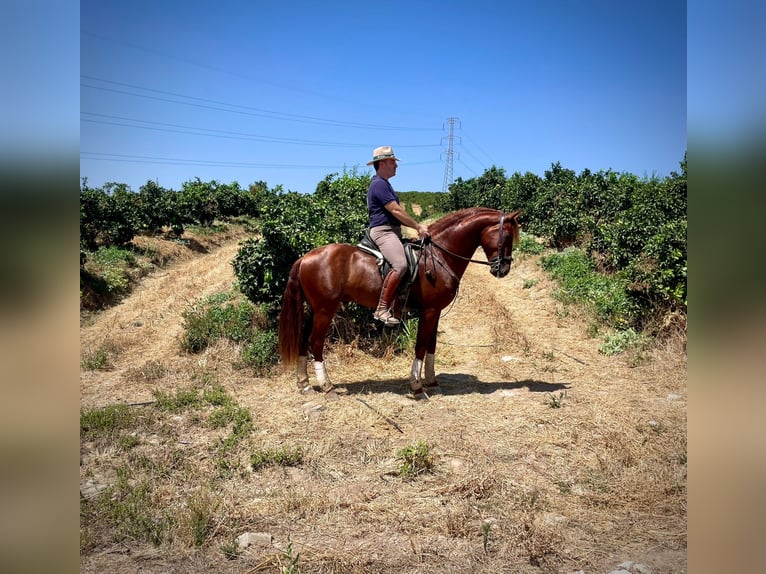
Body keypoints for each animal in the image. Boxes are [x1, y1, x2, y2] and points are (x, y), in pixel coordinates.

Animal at [278, 207, 520, 400]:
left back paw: (304, 384)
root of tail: (305, 258)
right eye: (507, 236)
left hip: (315, 309)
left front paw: (432, 382)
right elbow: (420, 346)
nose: (504, 269)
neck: (439, 254)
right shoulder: (429, 311)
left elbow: (431, 345)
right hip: (325, 310)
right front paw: (417, 386)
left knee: (303, 340)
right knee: (315, 343)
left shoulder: (435, 312)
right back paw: (327, 387)